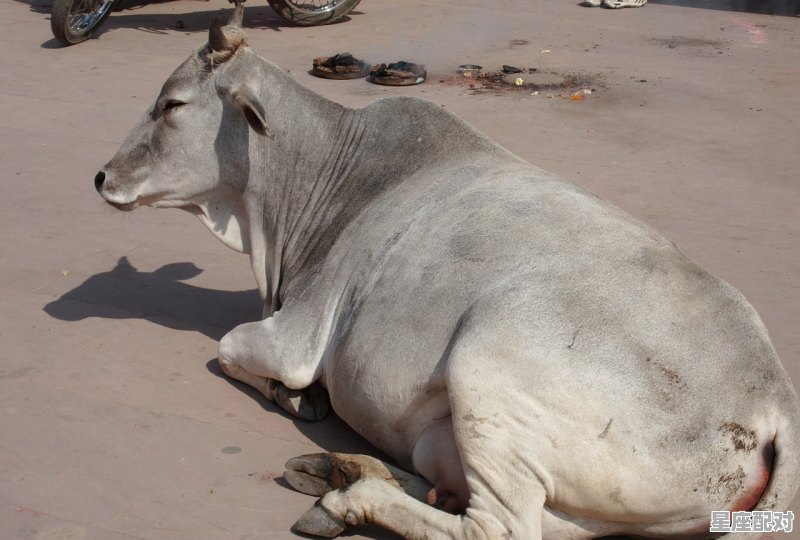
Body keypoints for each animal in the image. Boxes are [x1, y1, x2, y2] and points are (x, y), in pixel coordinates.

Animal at [95, 17, 800, 540]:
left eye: (172, 103)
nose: (101, 177)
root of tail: (774, 398)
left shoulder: (297, 335)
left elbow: (229, 351)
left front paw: (294, 398)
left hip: (485, 370)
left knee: (495, 528)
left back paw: (351, 497)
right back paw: (339, 470)